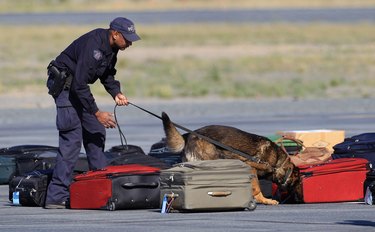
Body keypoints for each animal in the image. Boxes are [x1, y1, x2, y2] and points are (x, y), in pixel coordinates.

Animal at [162, 112, 302, 205]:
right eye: (299, 183)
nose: (300, 199)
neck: (278, 164)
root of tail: (188, 136)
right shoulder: (251, 168)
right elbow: (257, 188)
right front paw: (264, 200)